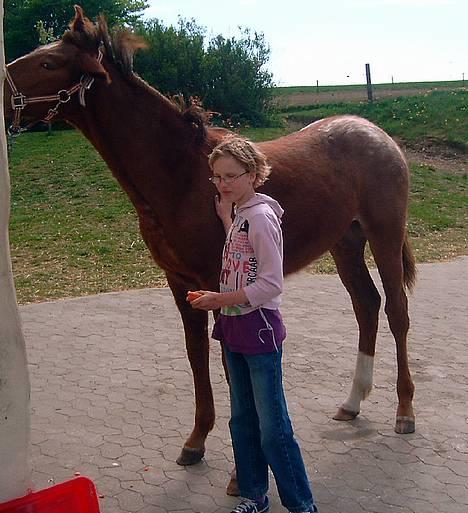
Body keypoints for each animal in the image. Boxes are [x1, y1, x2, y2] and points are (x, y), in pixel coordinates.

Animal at [5, 8, 416, 470]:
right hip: (345, 244)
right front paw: (196, 441)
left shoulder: (217, 284)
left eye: (48, 63)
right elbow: (197, 355)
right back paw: (352, 402)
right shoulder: (182, 284)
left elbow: (227, 362)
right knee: (366, 305)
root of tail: (377, 133)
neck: (183, 173)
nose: (0, 92)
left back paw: (405, 411)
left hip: (384, 235)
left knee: (396, 311)